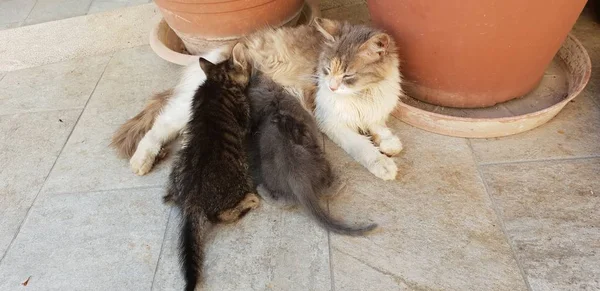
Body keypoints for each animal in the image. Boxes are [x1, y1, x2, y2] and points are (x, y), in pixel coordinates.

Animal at [112, 17, 404, 180]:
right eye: (326, 70)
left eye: (347, 75)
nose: (332, 87)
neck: (365, 93)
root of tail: (216, 54)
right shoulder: (330, 119)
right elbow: (362, 145)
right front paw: (382, 164)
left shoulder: (375, 107)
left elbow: (379, 125)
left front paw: (389, 142)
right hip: (187, 108)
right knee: (158, 127)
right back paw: (142, 160)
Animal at [164, 43, 260, 291]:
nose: (251, 67)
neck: (217, 83)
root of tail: (191, 200)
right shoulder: (243, 116)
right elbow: (247, 125)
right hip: (241, 175)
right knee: (223, 215)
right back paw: (250, 201)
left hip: (179, 163)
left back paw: (169, 195)